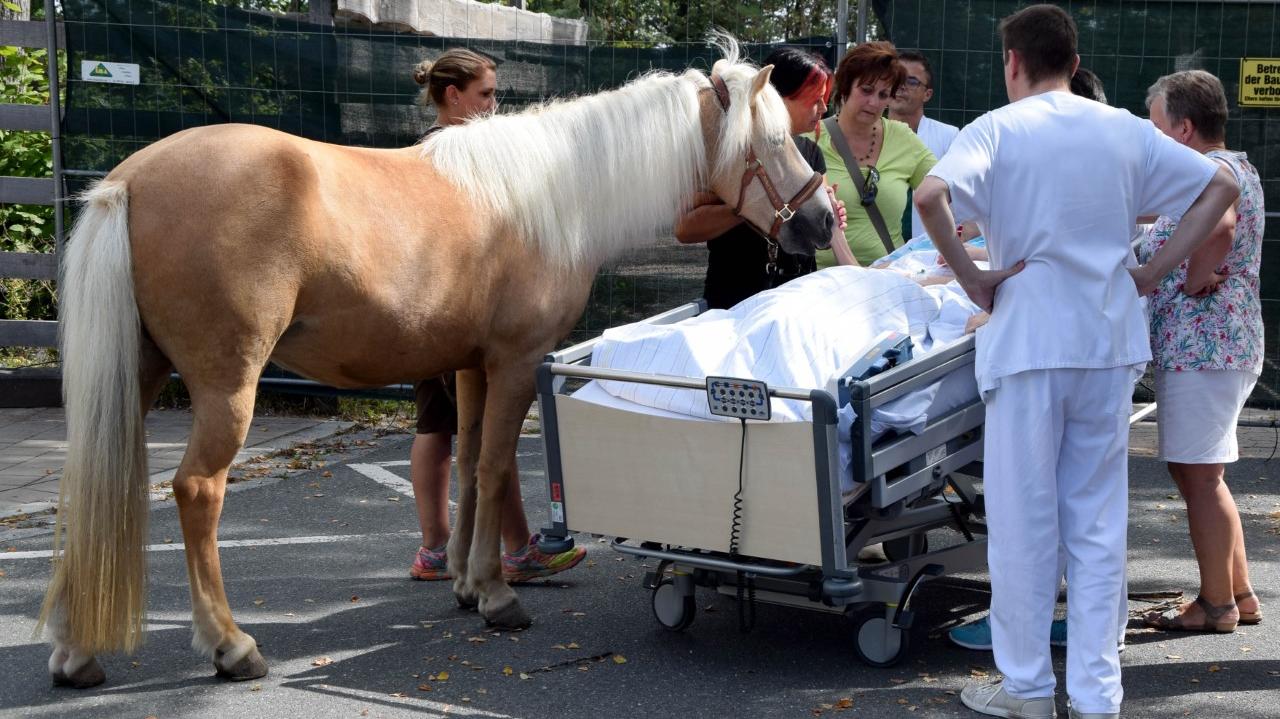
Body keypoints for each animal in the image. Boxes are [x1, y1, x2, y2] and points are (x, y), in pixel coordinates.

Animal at [40, 37, 834, 680]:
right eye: (773, 140)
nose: (823, 221)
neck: (551, 193)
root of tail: (129, 181)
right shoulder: (515, 363)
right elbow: (496, 466)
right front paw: (498, 595)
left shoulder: (471, 366)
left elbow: (472, 463)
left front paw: (465, 582)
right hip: (226, 385)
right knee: (198, 491)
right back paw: (231, 646)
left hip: (138, 375)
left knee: (93, 481)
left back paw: (76, 653)